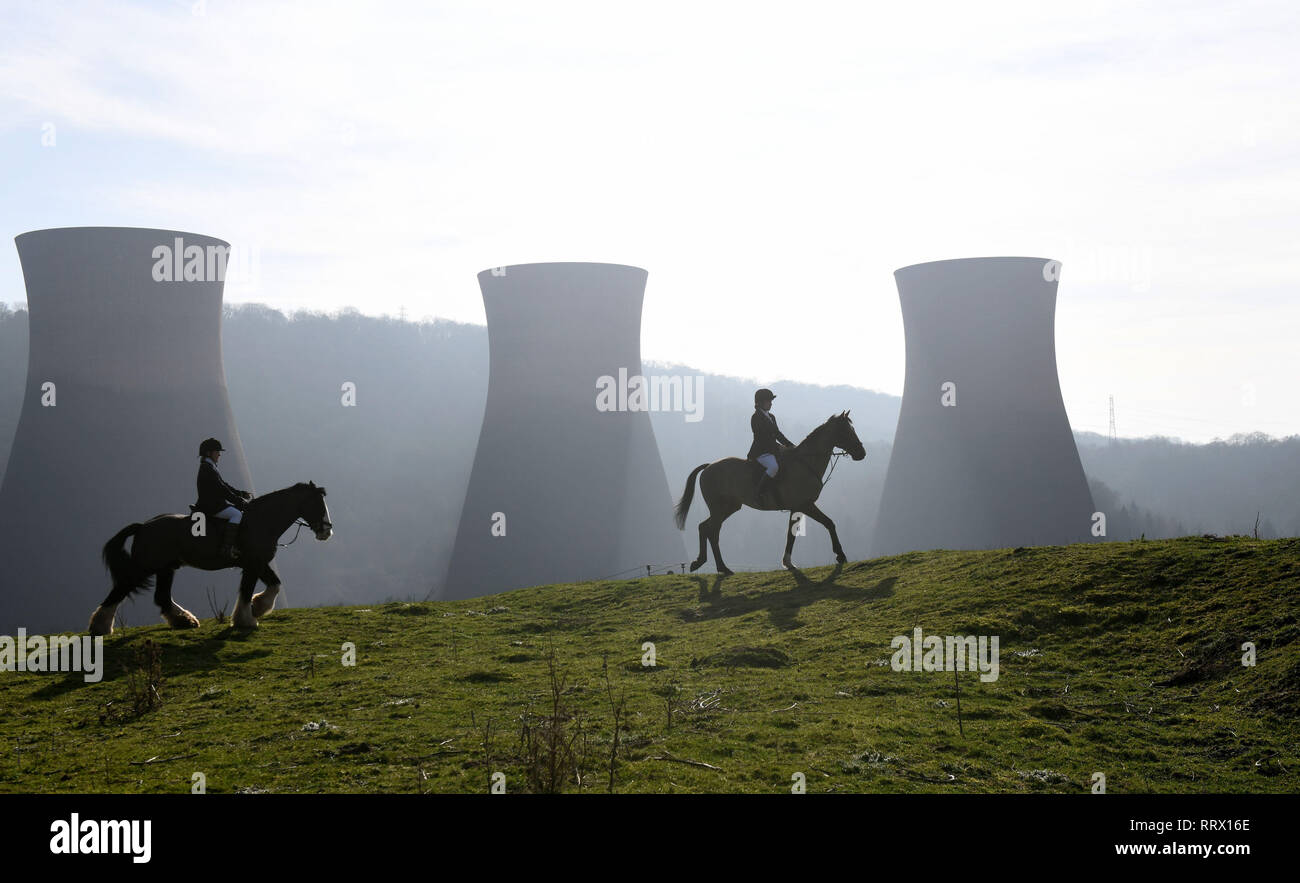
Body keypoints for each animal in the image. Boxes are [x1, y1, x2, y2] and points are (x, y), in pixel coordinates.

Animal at [676, 413, 868, 577]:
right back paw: (722, 567)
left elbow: (791, 534)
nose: (861, 453)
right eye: (846, 431)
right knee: (713, 531)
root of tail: (709, 466)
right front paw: (840, 555)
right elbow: (829, 523)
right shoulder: (805, 505)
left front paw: (788, 563)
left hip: (730, 507)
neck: (806, 463)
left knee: (705, 528)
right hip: (719, 508)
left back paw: (703, 563)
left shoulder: (797, 508)